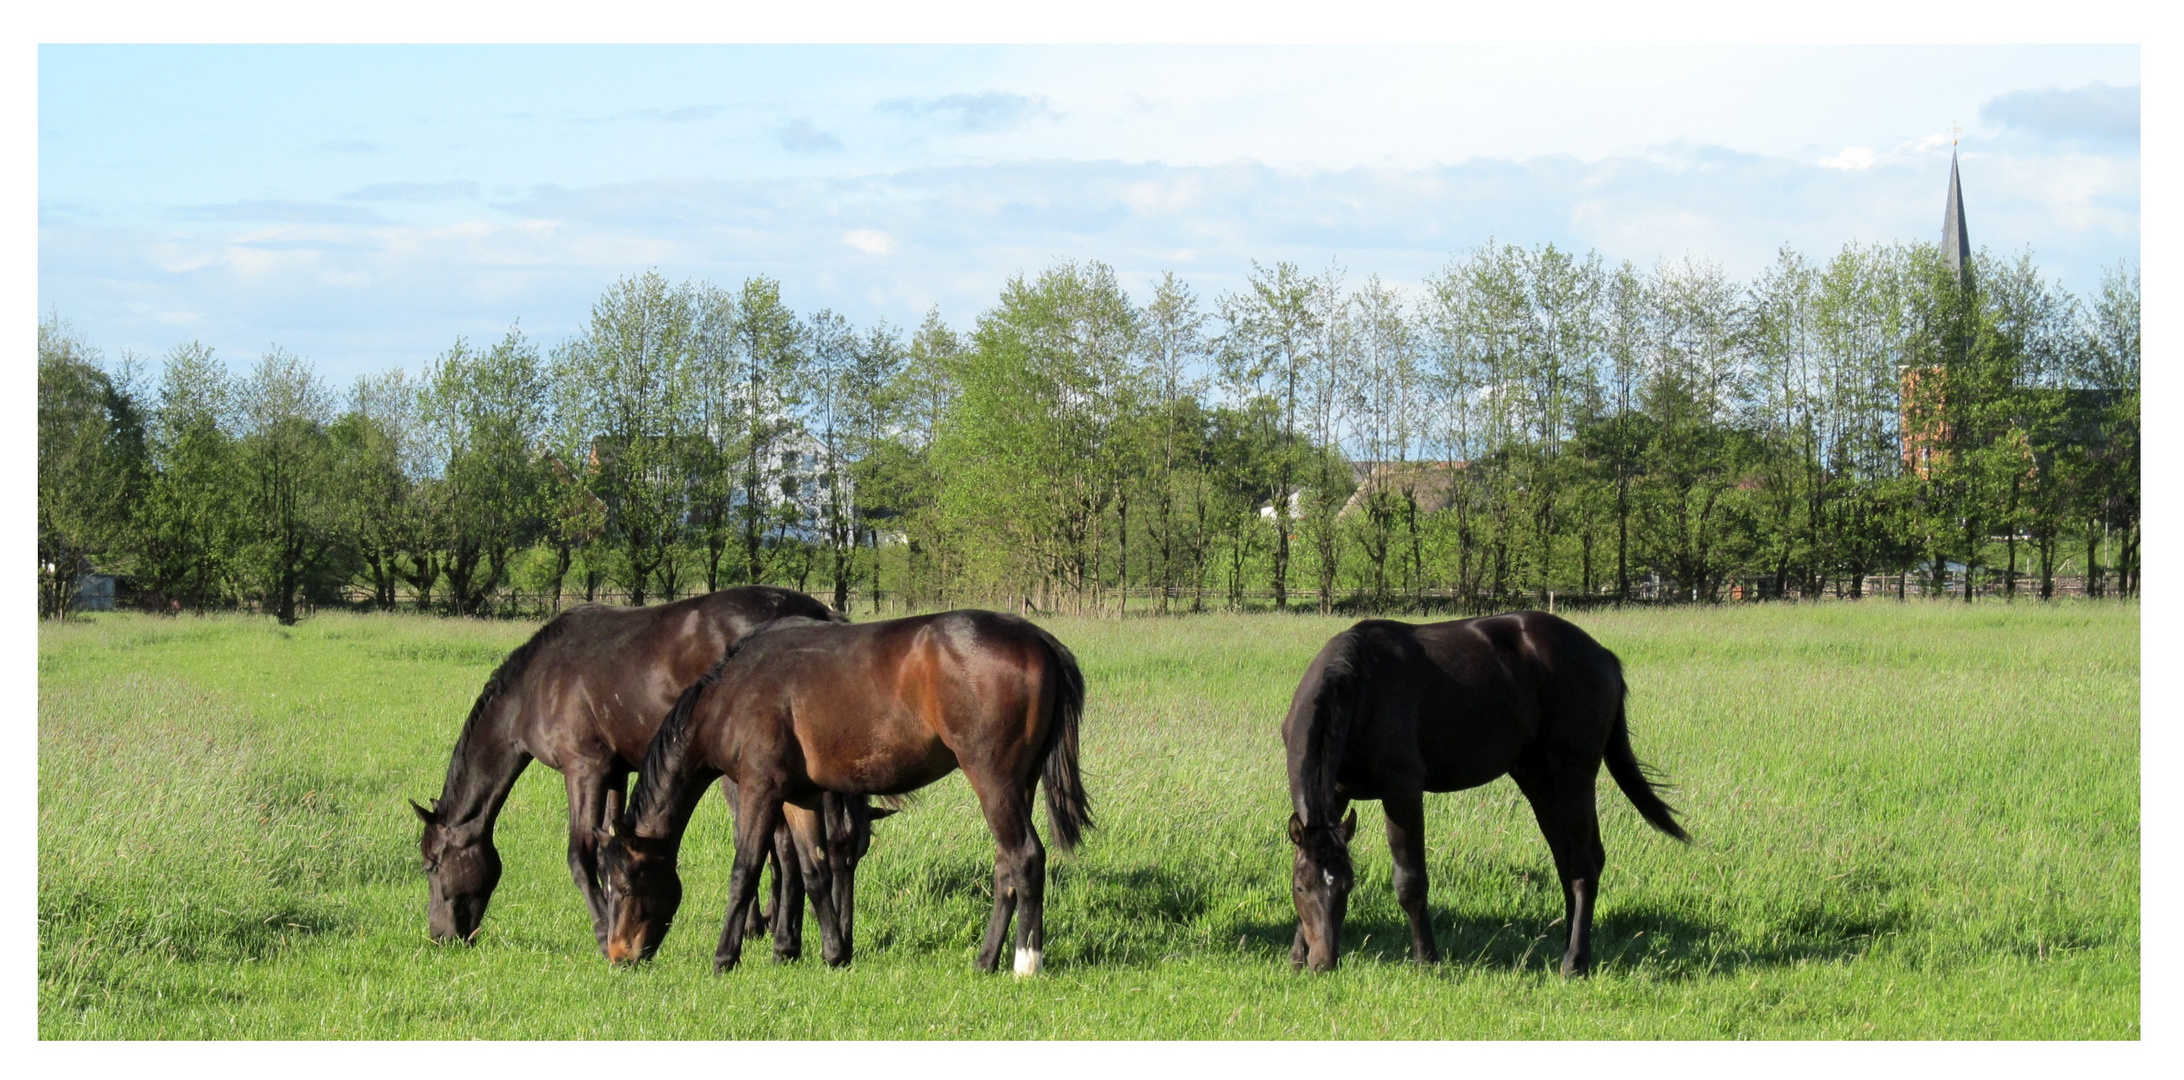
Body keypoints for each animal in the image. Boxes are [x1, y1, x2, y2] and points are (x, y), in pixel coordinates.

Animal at [406, 584, 856, 955]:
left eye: (431, 866)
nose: (440, 936)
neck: (535, 686)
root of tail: (819, 612)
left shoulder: (583, 769)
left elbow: (580, 855)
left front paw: (602, 932)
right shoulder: (615, 771)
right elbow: (609, 844)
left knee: (783, 848)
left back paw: (782, 936)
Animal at [598, 610, 1092, 977]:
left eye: (624, 884)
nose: (618, 955)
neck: (732, 693)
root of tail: (1036, 637)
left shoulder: (759, 788)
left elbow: (745, 871)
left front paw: (725, 957)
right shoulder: (799, 796)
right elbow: (814, 871)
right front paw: (833, 953)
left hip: (992, 778)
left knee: (1025, 857)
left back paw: (1025, 964)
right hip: (1019, 783)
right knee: (1006, 866)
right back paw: (986, 960)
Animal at [1275, 610, 1686, 977]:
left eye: (1348, 886)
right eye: (1301, 886)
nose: (1324, 962)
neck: (1359, 688)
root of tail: (1602, 655)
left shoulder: (1402, 791)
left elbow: (1410, 882)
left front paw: (1428, 960)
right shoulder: (1336, 796)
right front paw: (1295, 959)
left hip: (1574, 775)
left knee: (1585, 864)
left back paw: (1575, 962)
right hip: (1539, 780)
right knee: (1568, 860)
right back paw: (1571, 945)